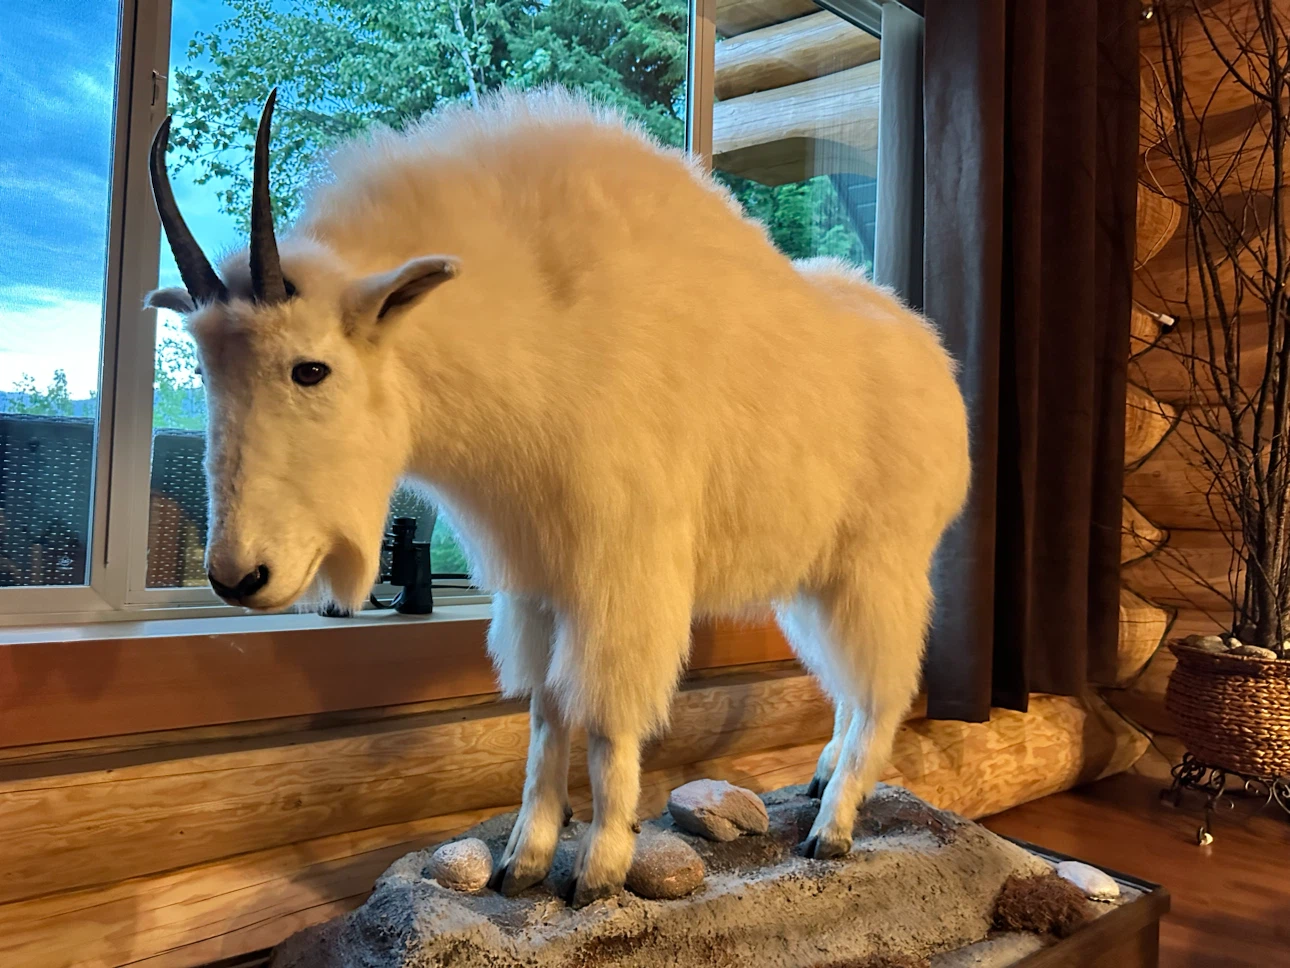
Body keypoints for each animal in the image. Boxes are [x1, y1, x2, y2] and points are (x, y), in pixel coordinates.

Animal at [146, 86, 970, 907]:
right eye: (208, 367)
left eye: (310, 369)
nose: (237, 576)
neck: (539, 329)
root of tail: (941, 372)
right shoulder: (539, 582)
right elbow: (545, 715)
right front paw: (524, 858)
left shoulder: (619, 579)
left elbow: (605, 724)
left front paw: (600, 866)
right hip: (814, 584)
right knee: (849, 688)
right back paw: (822, 778)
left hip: (880, 570)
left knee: (884, 692)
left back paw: (833, 826)